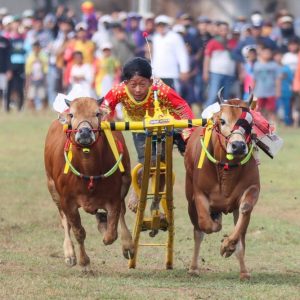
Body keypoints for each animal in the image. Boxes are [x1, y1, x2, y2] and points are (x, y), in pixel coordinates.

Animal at [44, 97, 134, 270]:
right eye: (72, 114)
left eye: (97, 113)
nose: (85, 132)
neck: (88, 168)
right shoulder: (67, 201)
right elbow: (78, 232)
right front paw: (84, 262)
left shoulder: (114, 197)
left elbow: (112, 233)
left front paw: (105, 228)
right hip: (53, 190)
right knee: (65, 222)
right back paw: (69, 254)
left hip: (125, 182)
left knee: (122, 213)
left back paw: (126, 244)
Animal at [184, 92, 258, 280]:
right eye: (222, 121)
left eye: (249, 123)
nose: (238, 146)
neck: (227, 169)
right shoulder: (199, 194)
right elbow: (206, 225)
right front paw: (217, 225)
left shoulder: (252, 189)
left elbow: (244, 211)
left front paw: (227, 245)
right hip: (190, 200)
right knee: (198, 231)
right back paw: (193, 268)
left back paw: (243, 271)